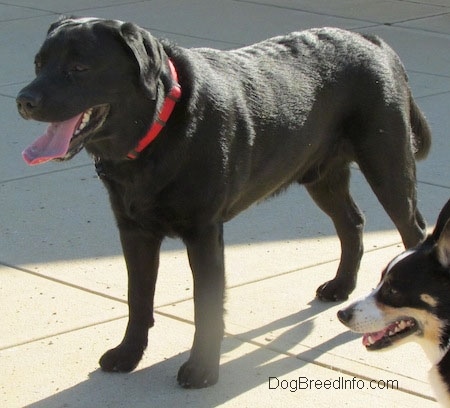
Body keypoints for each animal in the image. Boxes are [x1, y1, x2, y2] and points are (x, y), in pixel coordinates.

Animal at [17, 17, 430, 388]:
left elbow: (206, 307)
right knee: (351, 221)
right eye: (38, 64)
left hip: (387, 164)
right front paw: (128, 354)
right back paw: (340, 286)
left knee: (413, 230)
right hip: (320, 174)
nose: (24, 101)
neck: (155, 133)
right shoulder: (133, 231)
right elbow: (138, 298)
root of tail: (374, 41)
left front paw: (201, 370)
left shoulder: (203, 234)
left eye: (79, 68)